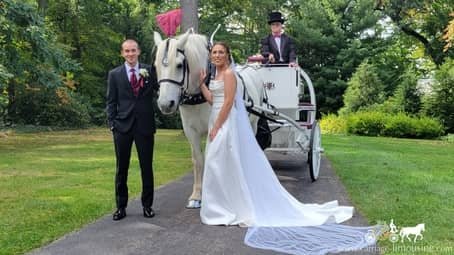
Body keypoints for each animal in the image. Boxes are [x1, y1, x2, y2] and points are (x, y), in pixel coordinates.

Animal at [154, 29, 264, 208]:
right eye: (156, 67)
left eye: (179, 65)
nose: (165, 104)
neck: (198, 94)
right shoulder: (190, 131)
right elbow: (198, 159)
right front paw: (196, 196)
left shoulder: (213, 126)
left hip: (253, 123)